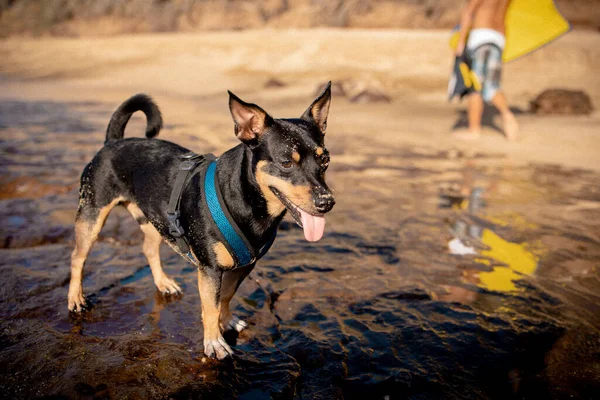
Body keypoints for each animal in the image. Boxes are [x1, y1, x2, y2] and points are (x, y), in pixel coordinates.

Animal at [68, 83, 336, 358]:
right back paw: (75, 299)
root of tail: (114, 141)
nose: (326, 202)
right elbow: (210, 306)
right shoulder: (209, 268)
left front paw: (226, 321)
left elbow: (225, 296)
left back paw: (163, 283)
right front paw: (214, 342)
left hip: (155, 219)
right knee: (78, 257)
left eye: (325, 159)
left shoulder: (243, 266)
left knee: (149, 249)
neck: (247, 199)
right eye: (286, 163)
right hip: (92, 213)